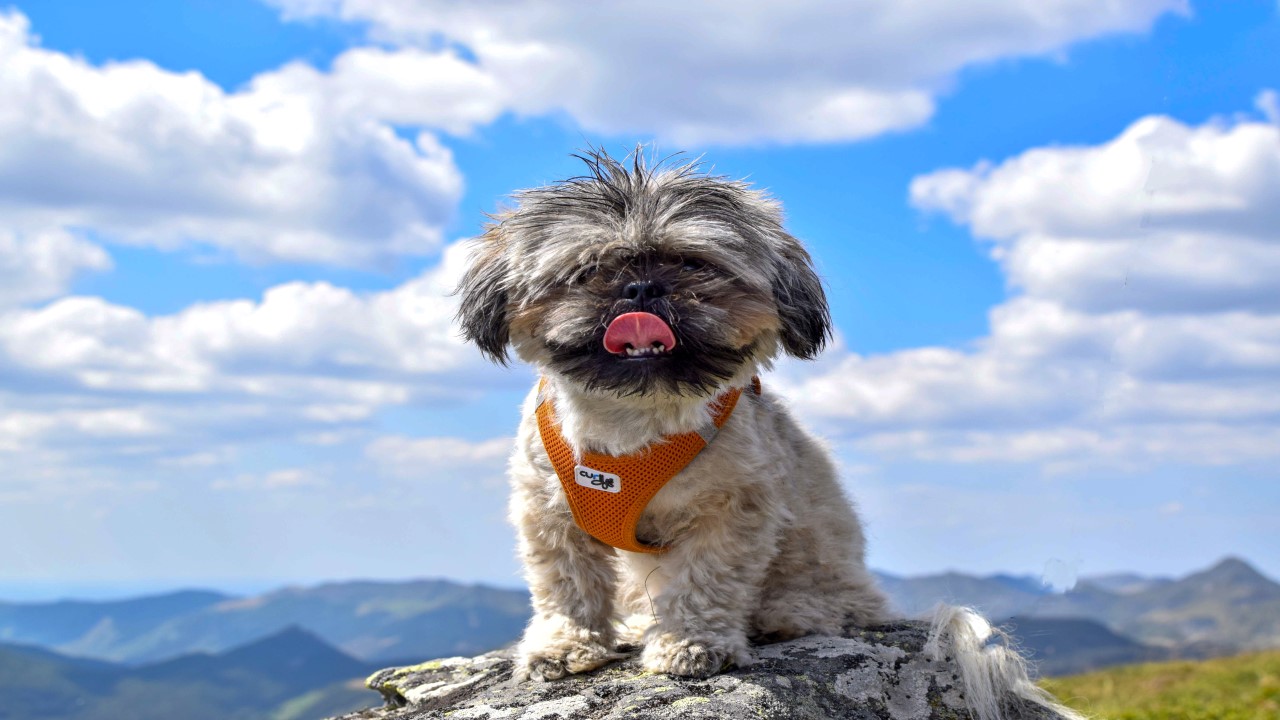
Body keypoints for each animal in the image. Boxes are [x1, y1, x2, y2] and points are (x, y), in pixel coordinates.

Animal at [453, 149, 890, 676]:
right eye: (588, 269)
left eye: (691, 263)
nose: (641, 288)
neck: (634, 419)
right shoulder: (549, 512)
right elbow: (567, 583)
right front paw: (563, 644)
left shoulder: (732, 511)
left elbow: (706, 579)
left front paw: (692, 642)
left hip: (824, 564)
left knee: (829, 601)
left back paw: (785, 615)